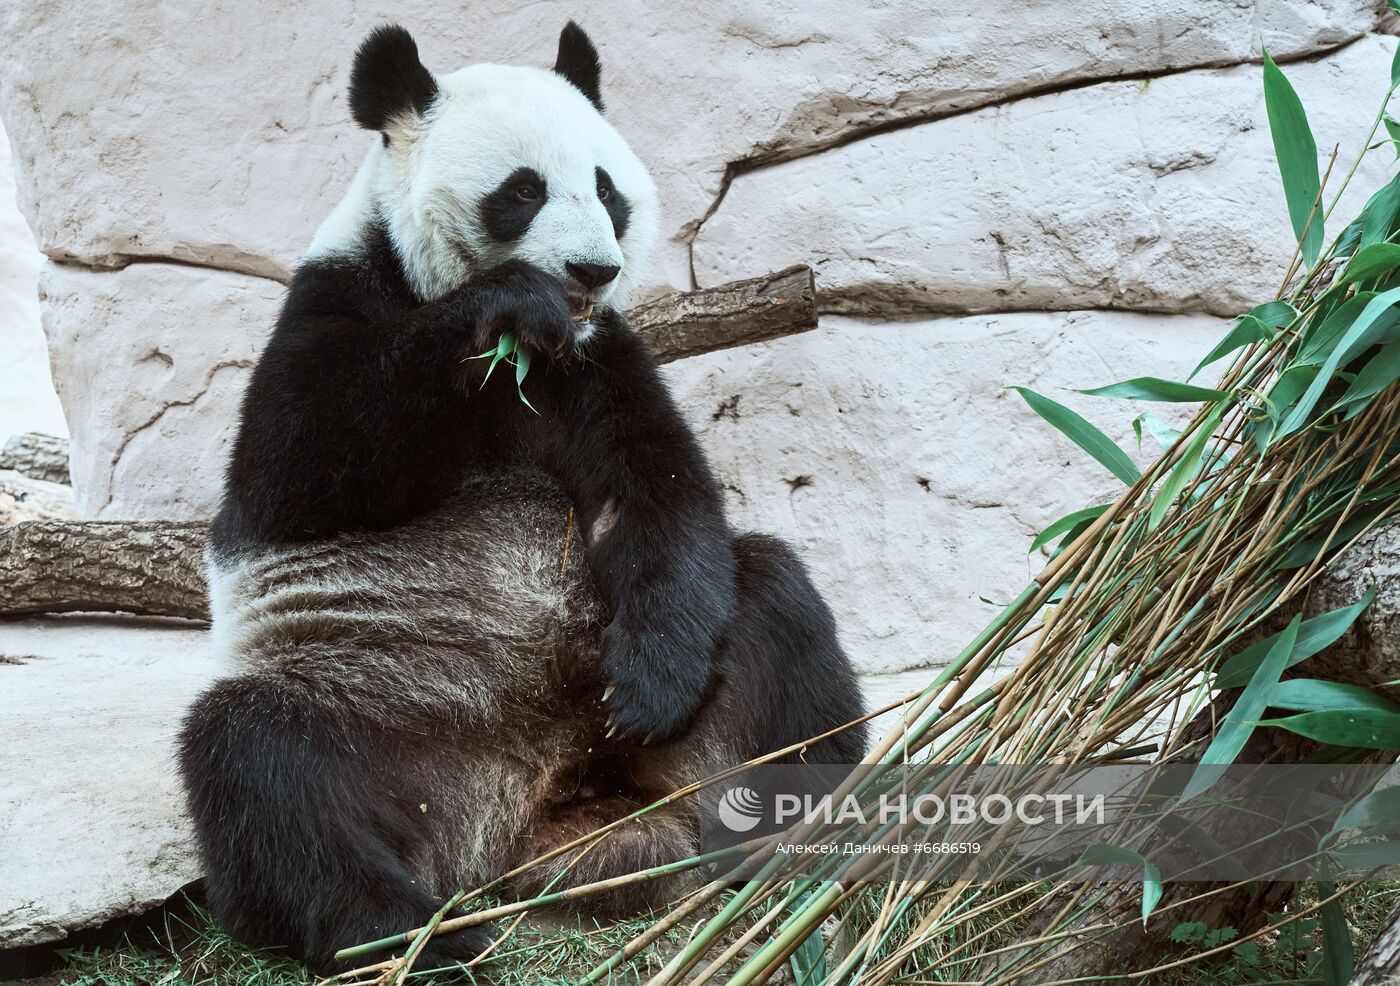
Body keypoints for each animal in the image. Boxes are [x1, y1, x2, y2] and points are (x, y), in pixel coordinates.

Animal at [180, 23, 868, 980]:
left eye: (608, 189)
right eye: (524, 189)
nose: (593, 268)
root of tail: (533, 804)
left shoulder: (595, 354)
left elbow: (653, 493)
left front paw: (650, 688)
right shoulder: (333, 301)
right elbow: (300, 469)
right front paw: (504, 303)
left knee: (771, 599)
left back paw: (812, 829)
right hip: (383, 716)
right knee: (262, 769)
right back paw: (415, 934)